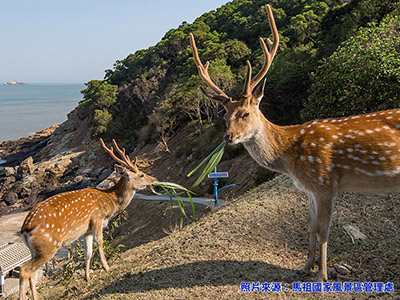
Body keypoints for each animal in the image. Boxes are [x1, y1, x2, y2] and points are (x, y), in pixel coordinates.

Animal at [19, 139, 156, 300]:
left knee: (32, 273)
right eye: (141, 175)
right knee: (24, 270)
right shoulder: (97, 219)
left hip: (34, 250)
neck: (109, 204)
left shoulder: (87, 230)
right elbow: (100, 242)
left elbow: (88, 252)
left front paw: (87, 277)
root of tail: (26, 227)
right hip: (49, 245)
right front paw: (106, 267)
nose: (154, 179)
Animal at [191, 4, 400, 282]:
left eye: (245, 113)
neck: (292, 158)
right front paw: (304, 267)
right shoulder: (310, 189)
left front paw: (322, 276)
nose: (228, 137)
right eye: (225, 116)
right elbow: (310, 227)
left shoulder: (325, 183)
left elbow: (323, 230)